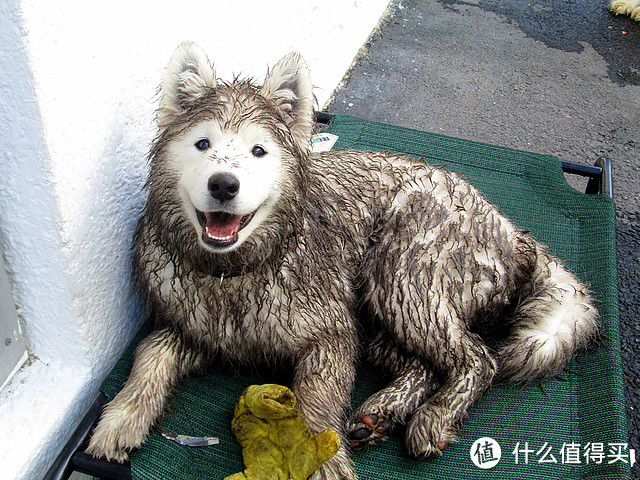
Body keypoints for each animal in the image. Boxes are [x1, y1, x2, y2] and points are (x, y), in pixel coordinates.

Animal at [86, 43, 600, 478]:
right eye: (203, 144)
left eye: (258, 150)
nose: (224, 185)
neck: (238, 269)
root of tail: (510, 229)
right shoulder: (193, 326)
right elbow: (149, 354)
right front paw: (120, 418)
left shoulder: (331, 333)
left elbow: (314, 401)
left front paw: (324, 461)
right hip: (377, 312)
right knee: (424, 365)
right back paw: (382, 411)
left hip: (403, 270)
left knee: (477, 359)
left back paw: (432, 417)